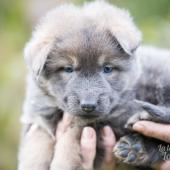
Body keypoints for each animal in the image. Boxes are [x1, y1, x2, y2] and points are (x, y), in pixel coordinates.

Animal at [17, 1, 170, 170]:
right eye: (68, 69)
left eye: (107, 68)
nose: (88, 106)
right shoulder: (38, 118)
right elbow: (37, 143)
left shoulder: (103, 121)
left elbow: (72, 137)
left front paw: (64, 163)